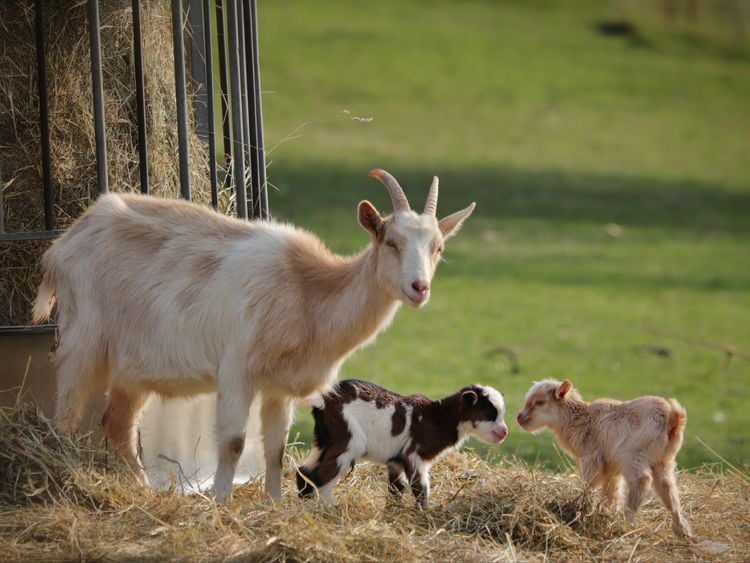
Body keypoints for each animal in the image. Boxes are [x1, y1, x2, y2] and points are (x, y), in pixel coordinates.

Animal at [31, 169, 475, 502]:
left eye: (438, 248)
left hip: (132, 365)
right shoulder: (236, 369)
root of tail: (62, 245)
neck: (307, 291)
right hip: (83, 340)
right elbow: (233, 441)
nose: (419, 288)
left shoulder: (278, 386)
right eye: (391, 241)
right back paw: (60, 478)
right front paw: (221, 502)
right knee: (66, 415)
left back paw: (142, 491)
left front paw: (275, 504)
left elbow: (275, 448)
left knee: (117, 423)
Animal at [297, 379, 508, 507]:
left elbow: (396, 490)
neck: (437, 418)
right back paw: (332, 509)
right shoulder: (414, 455)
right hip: (349, 440)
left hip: (324, 440)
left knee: (304, 472)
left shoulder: (395, 461)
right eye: (490, 412)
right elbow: (420, 489)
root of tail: (322, 401)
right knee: (323, 478)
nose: (504, 432)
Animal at [517, 379, 692, 537]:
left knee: (642, 479)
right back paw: (681, 530)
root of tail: (672, 420)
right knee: (668, 487)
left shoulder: (591, 458)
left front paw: (581, 506)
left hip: (632, 454)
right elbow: (612, 492)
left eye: (540, 402)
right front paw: (607, 513)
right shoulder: (611, 467)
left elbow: (589, 484)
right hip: (663, 460)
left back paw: (628, 522)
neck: (580, 420)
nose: (519, 418)